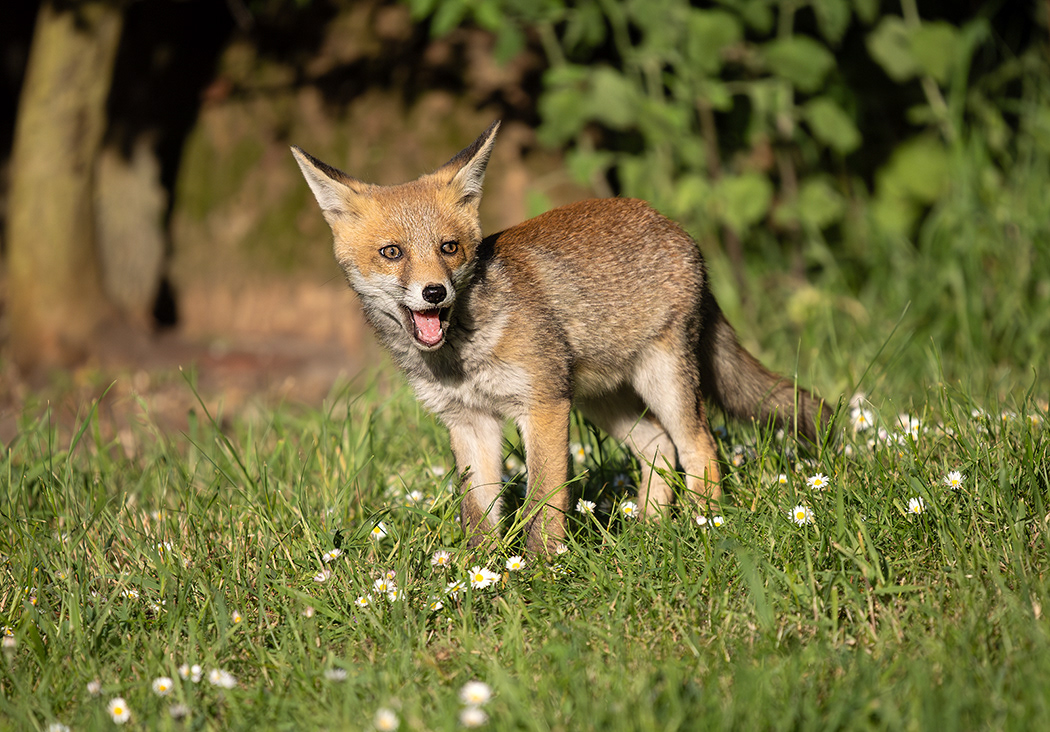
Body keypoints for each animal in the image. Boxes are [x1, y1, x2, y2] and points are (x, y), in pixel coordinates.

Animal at [292, 121, 830, 554]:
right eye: (392, 252)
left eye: (449, 248)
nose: (434, 291)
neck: (463, 355)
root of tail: (674, 226)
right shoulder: (468, 421)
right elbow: (478, 515)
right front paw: (479, 577)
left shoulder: (544, 404)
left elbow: (543, 502)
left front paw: (541, 572)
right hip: (601, 400)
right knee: (659, 447)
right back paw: (651, 530)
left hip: (661, 380)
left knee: (699, 446)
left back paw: (705, 524)